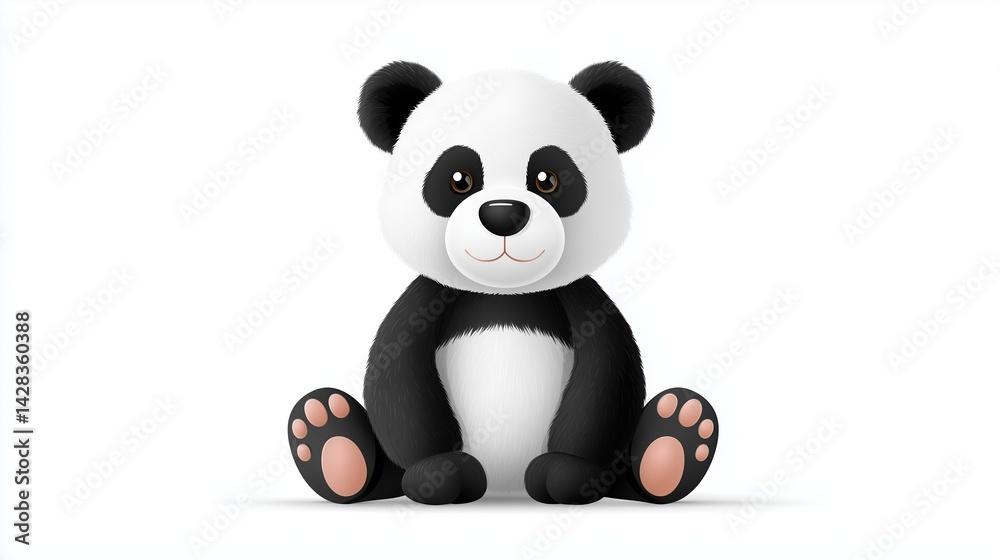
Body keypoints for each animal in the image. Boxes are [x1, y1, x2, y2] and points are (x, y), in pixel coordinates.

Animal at [287, 61, 719, 505]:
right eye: (459, 179)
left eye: (548, 179)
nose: (502, 214)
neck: (503, 293)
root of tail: (505, 487)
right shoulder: (425, 301)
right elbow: (398, 377)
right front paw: (440, 473)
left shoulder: (583, 301)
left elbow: (605, 378)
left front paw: (565, 473)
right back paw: (331, 439)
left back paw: (673, 440)